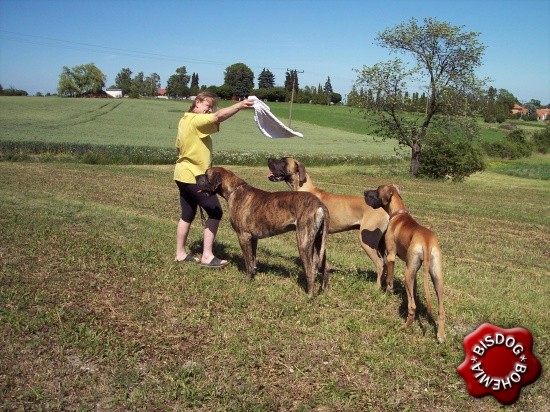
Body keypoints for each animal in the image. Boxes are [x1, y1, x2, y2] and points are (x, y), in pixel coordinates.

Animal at [196, 166, 329, 298]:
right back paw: (323, 290)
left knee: (310, 271)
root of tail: (320, 205)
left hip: (303, 243)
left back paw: (309, 296)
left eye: (206, 174)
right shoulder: (253, 238)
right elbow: (253, 259)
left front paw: (247, 279)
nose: (196, 177)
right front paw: (253, 274)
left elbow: (247, 261)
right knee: (325, 267)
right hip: (318, 242)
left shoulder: (243, 237)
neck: (234, 190)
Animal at [267, 157, 389, 288]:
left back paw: (377, 288)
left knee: (380, 264)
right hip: (380, 243)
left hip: (368, 242)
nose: (269, 159)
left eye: (283, 161)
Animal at [364, 184, 445, 343]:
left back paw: (404, 327)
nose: (364, 192)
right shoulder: (413, 270)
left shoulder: (390, 257)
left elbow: (389, 281)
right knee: (441, 310)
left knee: (412, 306)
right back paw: (441, 335)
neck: (398, 213)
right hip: (436, 276)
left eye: (377, 190)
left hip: (407, 273)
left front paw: (385, 295)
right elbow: (413, 289)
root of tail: (426, 242)